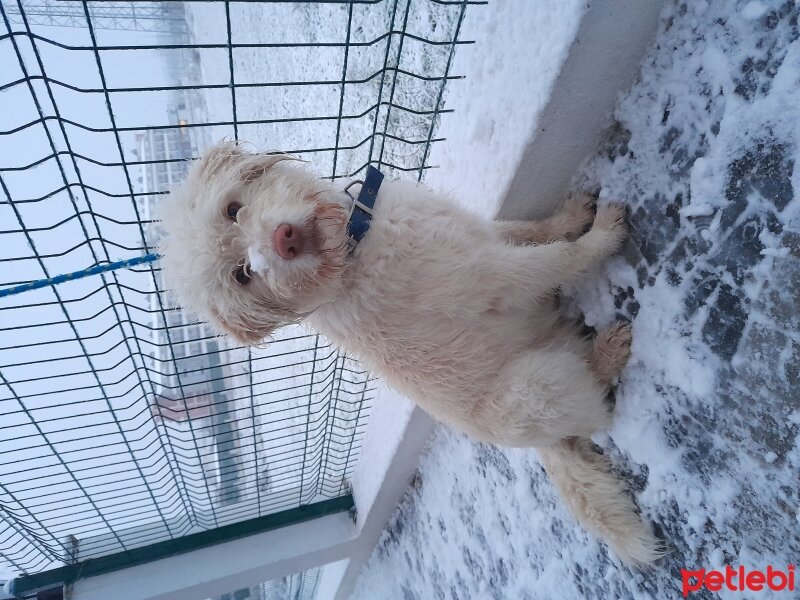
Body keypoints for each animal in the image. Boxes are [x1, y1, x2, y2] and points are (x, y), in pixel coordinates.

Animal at [158, 143, 664, 564]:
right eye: (243, 275)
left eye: (232, 209)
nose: (284, 240)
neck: (355, 247)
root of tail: (549, 442)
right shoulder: (496, 277)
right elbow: (560, 258)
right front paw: (603, 234)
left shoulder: (479, 237)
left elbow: (530, 231)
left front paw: (572, 215)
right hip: (539, 384)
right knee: (598, 402)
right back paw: (609, 350)